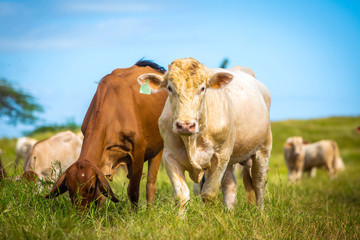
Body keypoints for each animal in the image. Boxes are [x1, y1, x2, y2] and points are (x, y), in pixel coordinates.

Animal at [46, 60, 167, 208]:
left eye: (90, 188)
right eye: (69, 188)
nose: (79, 212)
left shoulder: (138, 151)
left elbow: (133, 192)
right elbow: (101, 196)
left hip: (158, 149)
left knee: (151, 185)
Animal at [139, 58, 272, 212]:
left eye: (202, 88)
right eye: (170, 88)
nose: (185, 125)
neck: (192, 141)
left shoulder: (220, 157)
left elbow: (209, 194)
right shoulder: (170, 156)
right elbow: (181, 195)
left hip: (262, 149)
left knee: (259, 182)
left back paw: (260, 212)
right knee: (230, 185)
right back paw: (230, 212)